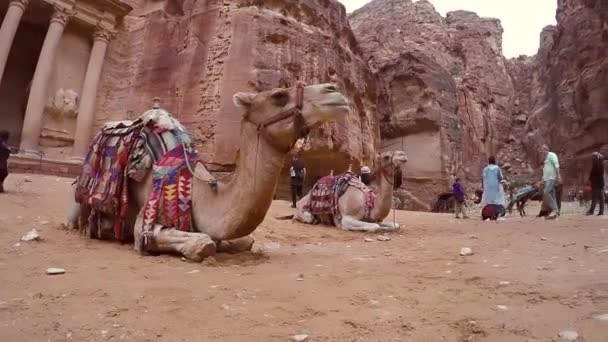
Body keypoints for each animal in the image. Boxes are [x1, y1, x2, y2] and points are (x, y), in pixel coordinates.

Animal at [64, 84, 350, 260]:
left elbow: (242, 240)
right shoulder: (145, 222)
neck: (200, 192)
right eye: (279, 95)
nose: (334, 91)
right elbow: (202, 243)